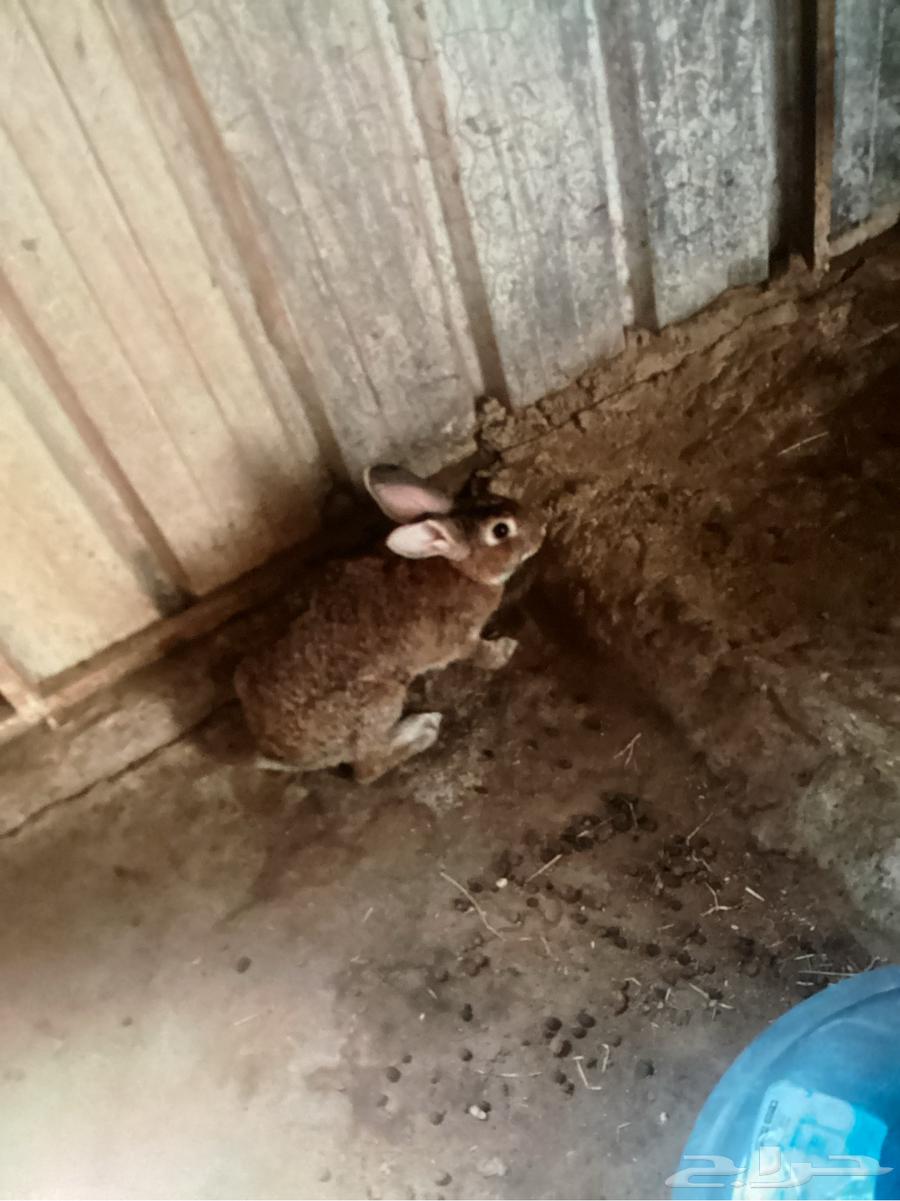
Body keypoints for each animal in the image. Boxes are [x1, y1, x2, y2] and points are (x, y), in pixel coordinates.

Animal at [234, 464, 545, 783]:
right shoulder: (462, 640)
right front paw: (504, 650)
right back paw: (422, 730)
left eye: (493, 498)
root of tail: (282, 755)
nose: (542, 526)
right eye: (501, 530)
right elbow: (482, 655)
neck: (458, 568)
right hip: (379, 702)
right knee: (367, 769)